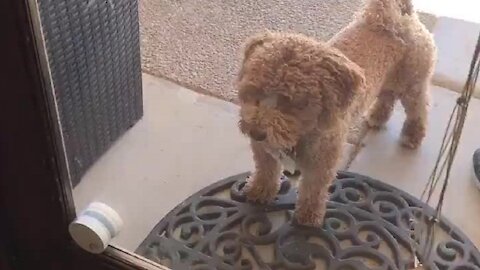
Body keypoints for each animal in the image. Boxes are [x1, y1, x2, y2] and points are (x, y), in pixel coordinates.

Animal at [236, 0, 436, 226]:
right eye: (254, 91)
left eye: (292, 102)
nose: (256, 131)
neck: (301, 132)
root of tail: (401, 18)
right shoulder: (264, 150)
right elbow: (265, 169)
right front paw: (259, 190)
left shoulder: (323, 160)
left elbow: (314, 189)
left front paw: (308, 216)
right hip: (388, 79)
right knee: (386, 97)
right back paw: (377, 116)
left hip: (412, 83)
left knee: (418, 109)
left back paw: (412, 135)